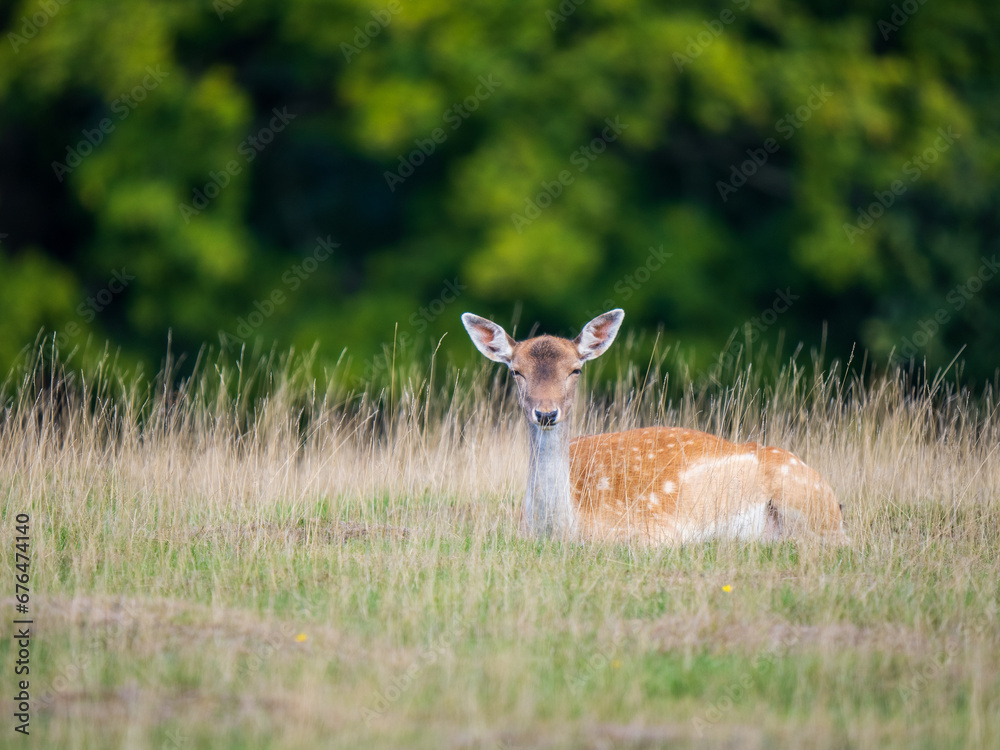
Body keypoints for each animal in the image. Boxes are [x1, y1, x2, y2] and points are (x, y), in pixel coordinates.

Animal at [461, 309, 847, 544]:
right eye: (516, 371)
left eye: (576, 369)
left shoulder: (659, 530)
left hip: (807, 499)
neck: (563, 528)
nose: (545, 413)